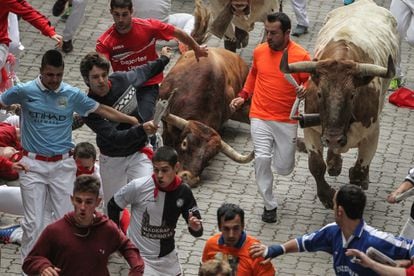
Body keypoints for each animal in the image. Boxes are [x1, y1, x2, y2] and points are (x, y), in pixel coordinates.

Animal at [280, 0, 400, 207]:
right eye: (319, 94)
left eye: (352, 95)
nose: (334, 138)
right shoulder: (311, 128)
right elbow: (316, 166)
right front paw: (327, 195)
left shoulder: (372, 132)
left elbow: (358, 172)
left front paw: (358, 182)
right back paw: (334, 162)